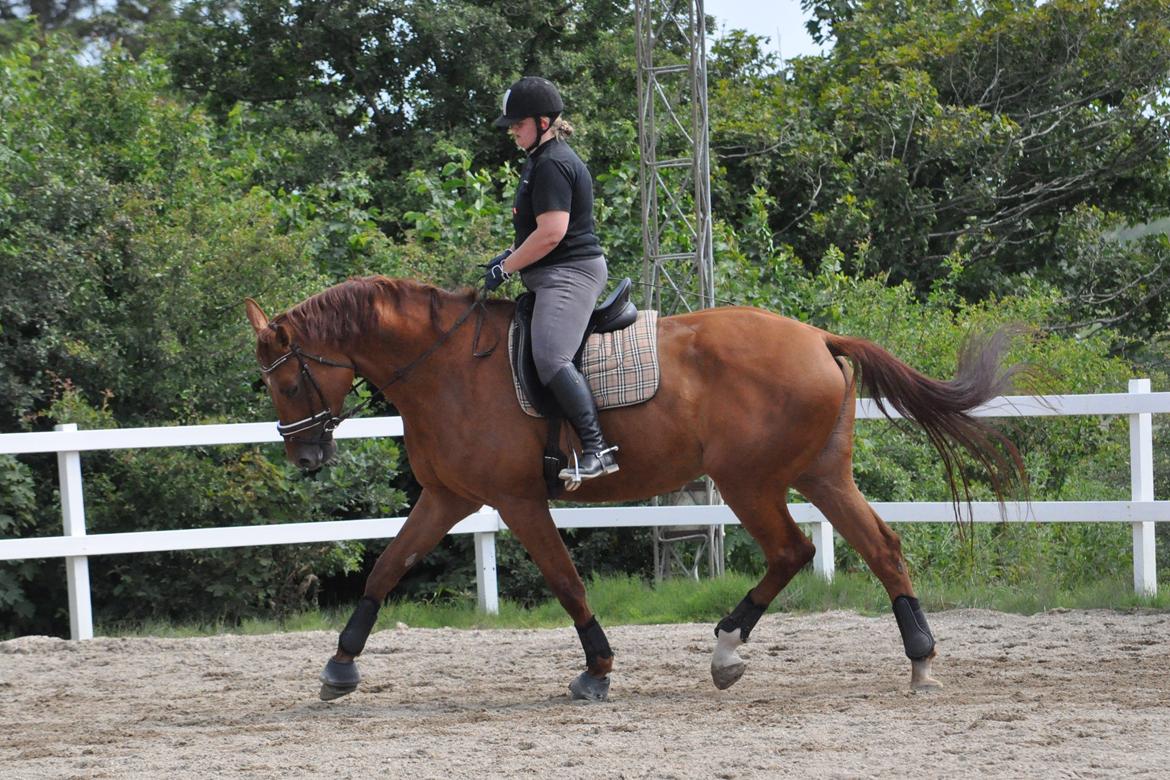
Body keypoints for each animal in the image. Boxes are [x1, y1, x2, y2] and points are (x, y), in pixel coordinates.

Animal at [246, 277, 1024, 706]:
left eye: (286, 382)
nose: (306, 455)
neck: (444, 367)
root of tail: (819, 337)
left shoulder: (516, 500)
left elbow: (566, 582)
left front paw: (596, 671)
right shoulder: (448, 498)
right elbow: (385, 568)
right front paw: (339, 666)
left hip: (749, 480)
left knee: (792, 551)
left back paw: (729, 651)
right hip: (818, 474)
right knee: (878, 547)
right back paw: (917, 661)